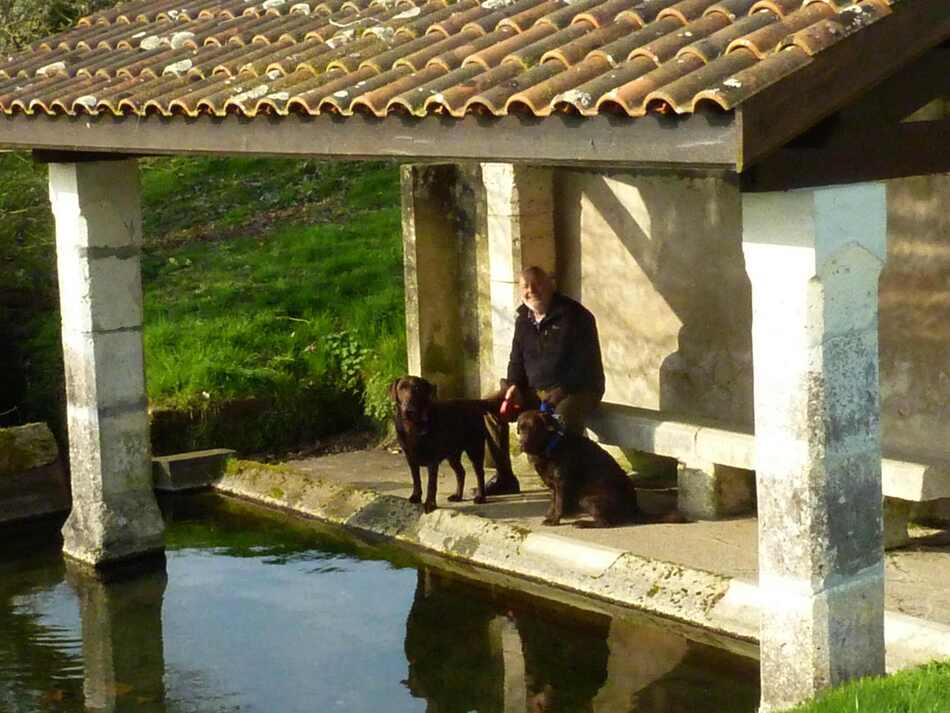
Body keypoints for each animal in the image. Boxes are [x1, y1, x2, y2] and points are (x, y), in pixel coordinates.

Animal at [390, 376, 506, 516]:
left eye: (417, 389)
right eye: (402, 388)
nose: (409, 409)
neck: (413, 426)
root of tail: (473, 403)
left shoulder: (432, 460)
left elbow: (431, 484)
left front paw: (430, 504)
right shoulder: (410, 457)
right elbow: (416, 479)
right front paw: (416, 496)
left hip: (474, 449)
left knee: (479, 473)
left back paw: (480, 497)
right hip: (452, 455)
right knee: (461, 472)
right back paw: (457, 496)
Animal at [516, 408, 644, 524]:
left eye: (533, 428)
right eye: (520, 429)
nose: (521, 445)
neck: (550, 446)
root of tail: (635, 509)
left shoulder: (562, 484)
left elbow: (559, 504)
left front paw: (555, 520)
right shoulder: (553, 486)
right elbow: (553, 502)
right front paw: (550, 517)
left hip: (585, 499)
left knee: (604, 523)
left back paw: (582, 523)